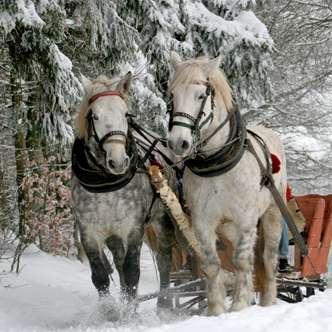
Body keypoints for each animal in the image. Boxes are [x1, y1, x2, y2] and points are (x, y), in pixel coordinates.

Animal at [167, 52, 286, 316]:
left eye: (201, 96)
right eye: (172, 95)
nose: (178, 142)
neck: (217, 164)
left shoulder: (246, 219)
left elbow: (242, 261)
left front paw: (240, 304)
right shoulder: (202, 222)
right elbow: (212, 264)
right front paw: (216, 309)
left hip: (272, 213)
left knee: (268, 258)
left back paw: (268, 300)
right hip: (228, 228)